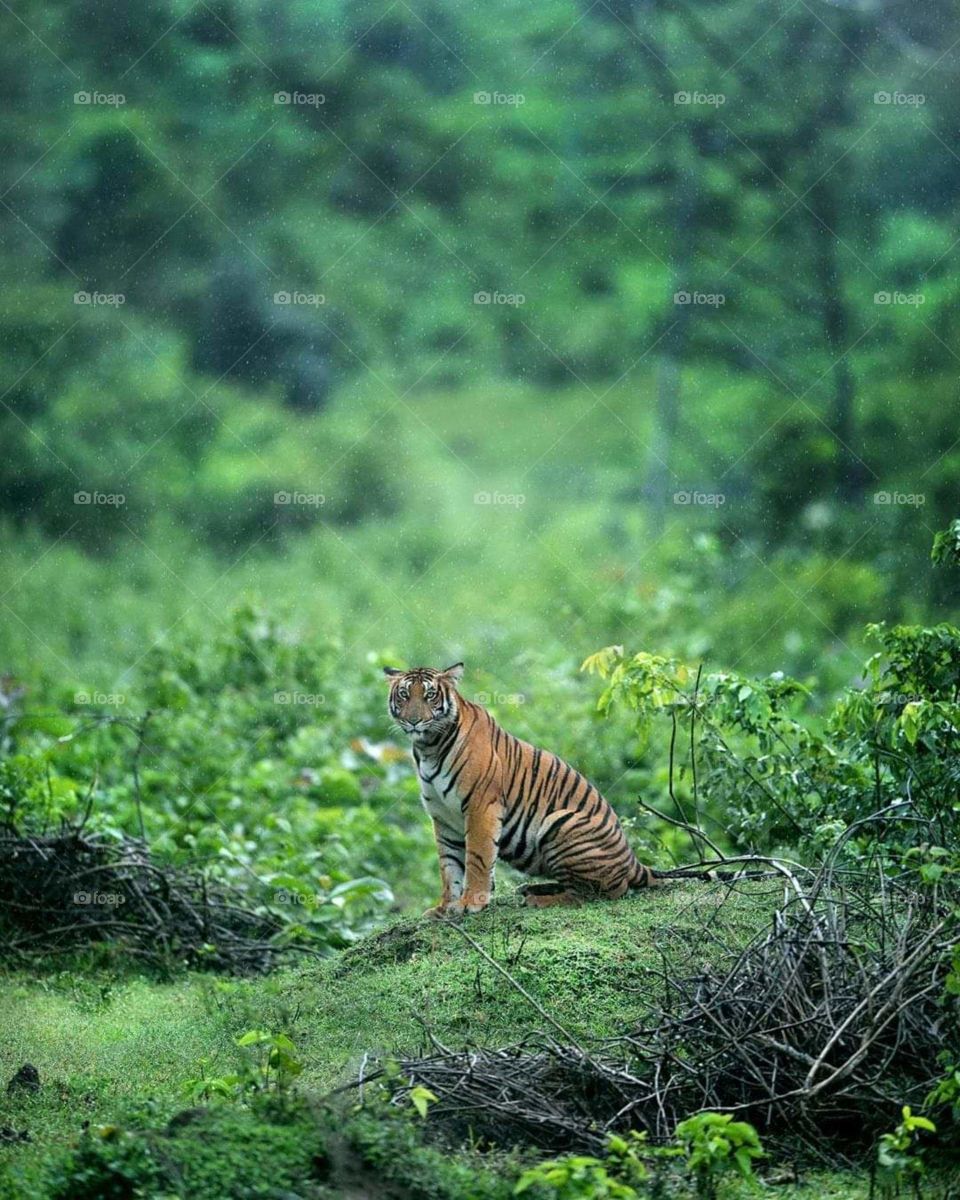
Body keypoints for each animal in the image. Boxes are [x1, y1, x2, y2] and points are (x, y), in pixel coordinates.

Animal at [384, 661, 658, 917]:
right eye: (404, 695)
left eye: (430, 695)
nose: (414, 721)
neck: (429, 747)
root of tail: (633, 860)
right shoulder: (443, 817)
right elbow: (448, 866)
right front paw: (444, 908)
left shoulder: (481, 806)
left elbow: (477, 858)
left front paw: (471, 902)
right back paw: (530, 889)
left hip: (561, 822)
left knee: (594, 893)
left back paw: (538, 899)